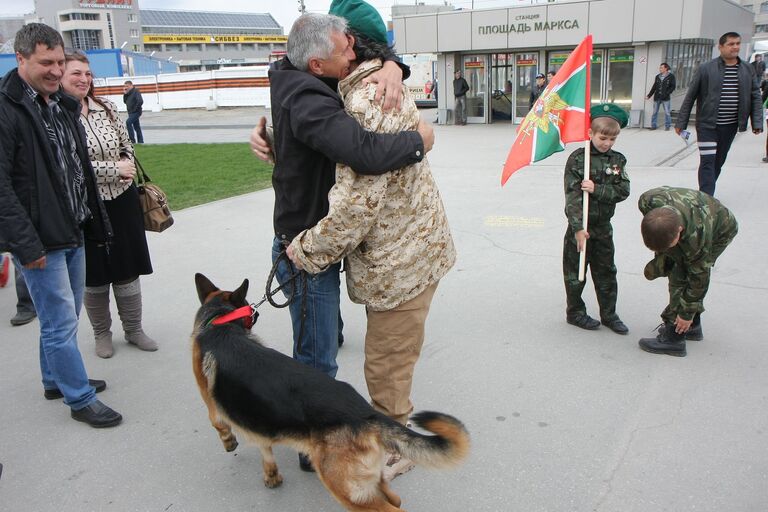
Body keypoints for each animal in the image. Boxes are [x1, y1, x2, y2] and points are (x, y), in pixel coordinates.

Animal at [192, 274, 468, 512]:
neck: (220, 323)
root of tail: (365, 413)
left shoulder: (211, 404)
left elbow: (219, 424)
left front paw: (229, 442)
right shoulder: (261, 421)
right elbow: (265, 448)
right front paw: (271, 475)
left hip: (346, 489)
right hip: (367, 482)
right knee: (395, 499)